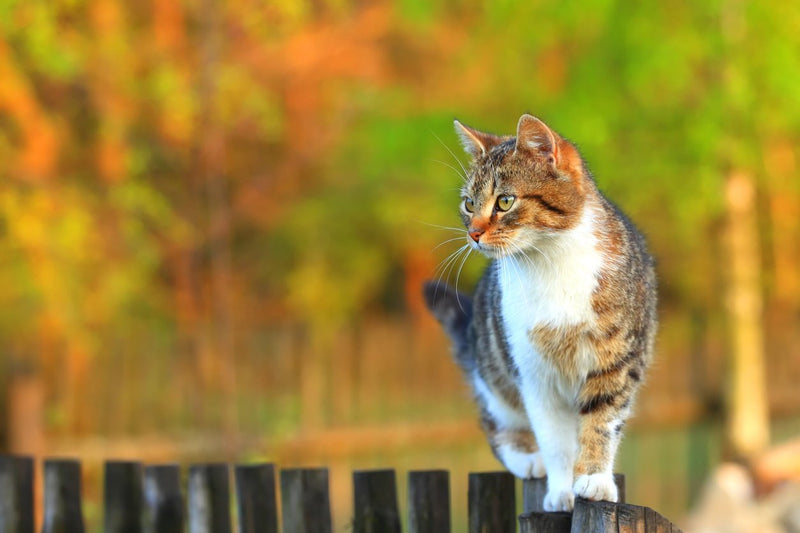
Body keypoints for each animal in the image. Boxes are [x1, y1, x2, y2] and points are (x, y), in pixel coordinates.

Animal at [424, 113, 656, 512]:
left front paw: (594, 479)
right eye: (469, 203)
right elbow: (554, 439)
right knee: (495, 421)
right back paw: (527, 459)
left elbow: (602, 420)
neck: (549, 261)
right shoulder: (534, 374)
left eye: (504, 201)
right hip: (494, 375)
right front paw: (561, 490)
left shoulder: (617, 360)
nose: (473, 233)